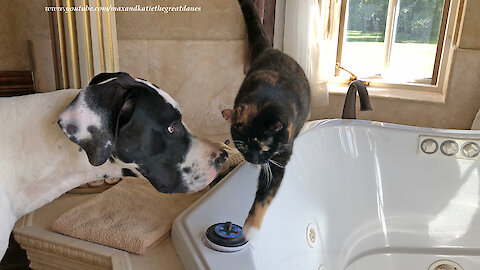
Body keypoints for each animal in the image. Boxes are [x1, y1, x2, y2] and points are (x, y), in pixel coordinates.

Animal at [222, 0, 312, 238]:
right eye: (243, 147)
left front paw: (250, 229)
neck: (265, 103)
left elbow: (265, 196)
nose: (254, 160)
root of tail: (270, 48)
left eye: (263, 147)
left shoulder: (280, 158)